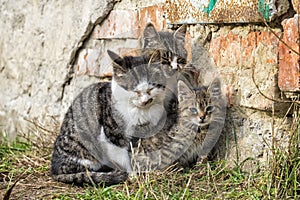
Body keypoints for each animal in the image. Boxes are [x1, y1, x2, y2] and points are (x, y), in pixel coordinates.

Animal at [50, 50, 176, 186]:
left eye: (150, 89)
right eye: (135, 91)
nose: (145, 101)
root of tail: (54, 170)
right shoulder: (112, 136)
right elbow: (123, 156)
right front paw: (132, 175)